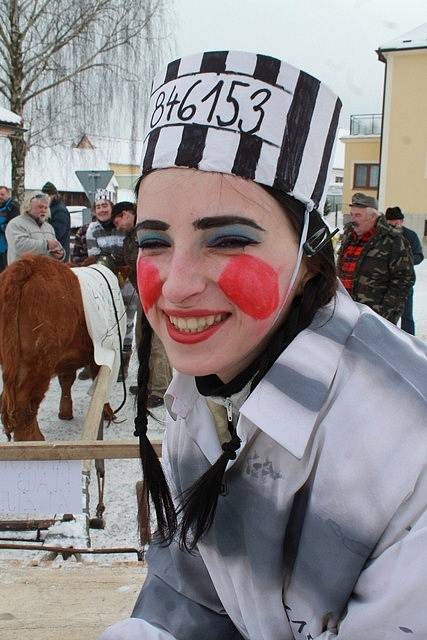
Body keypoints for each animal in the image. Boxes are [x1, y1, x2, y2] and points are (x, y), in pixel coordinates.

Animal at [0, 254, 106, 440]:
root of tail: (27, 264)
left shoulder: (67, 358)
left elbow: (66, 380)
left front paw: (65, 412)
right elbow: (99, 382)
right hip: (37, 365)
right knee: (24, 407)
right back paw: (35, 440)